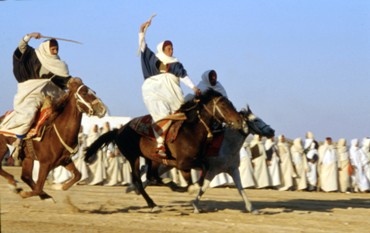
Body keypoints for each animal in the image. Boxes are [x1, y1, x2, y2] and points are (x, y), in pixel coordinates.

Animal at [85, 89, 244, 211]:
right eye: (223, 104)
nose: (239, 120)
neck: (191, 131)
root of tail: (119, 130)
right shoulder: (182, 163)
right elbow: (200, 171)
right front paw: (192, 188)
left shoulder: (189, 163)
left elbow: (201, 171)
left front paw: (191, 187)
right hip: (133, 157)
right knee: (139, 180)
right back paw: (152, 203)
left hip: (152, 158)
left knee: (152, 176)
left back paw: (169, 184)